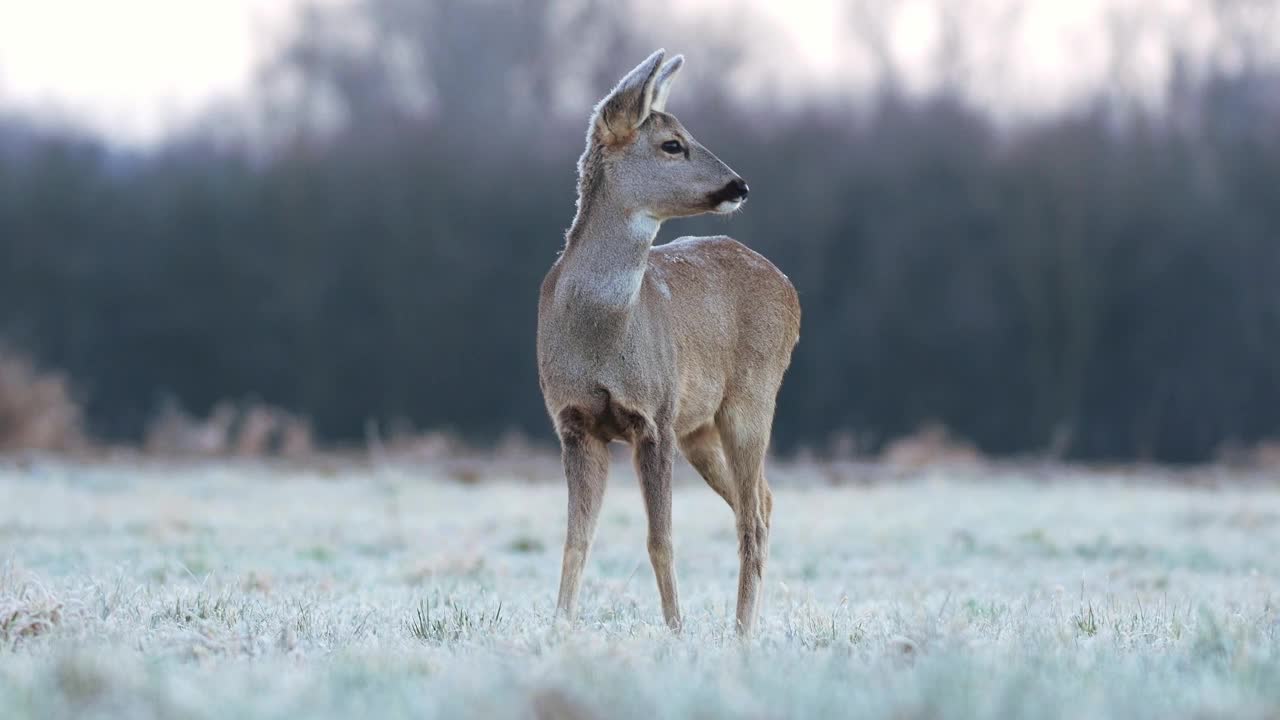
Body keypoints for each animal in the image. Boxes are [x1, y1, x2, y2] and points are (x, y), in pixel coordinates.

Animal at [532, 50, 793, 632]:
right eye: (673, 143)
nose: (739, 186)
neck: (600, 337)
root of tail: (789, 290)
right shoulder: (573, 422)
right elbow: (576, 539)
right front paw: (558, 628)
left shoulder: (654, 416)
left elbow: (660, 540)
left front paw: (676, 631)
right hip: (699, 427)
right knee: (762, 502)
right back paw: (746, 626)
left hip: (752, 398)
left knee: (751, 514)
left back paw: (741, 633)